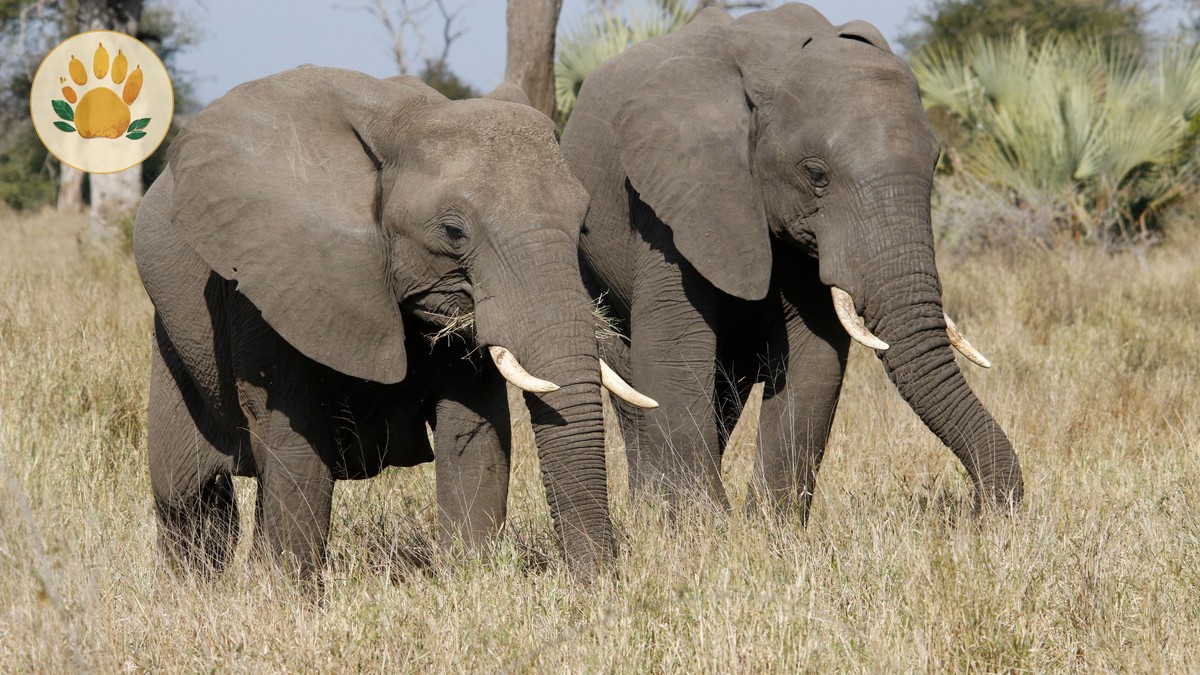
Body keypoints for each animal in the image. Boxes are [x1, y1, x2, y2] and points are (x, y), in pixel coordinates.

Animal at [133, 66, 656, 579]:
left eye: (583, 224)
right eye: (453, 232)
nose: (600, 582)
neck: (405, 119)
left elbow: (476, 436)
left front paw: (471, 579)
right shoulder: (271, 281)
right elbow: (295, 443)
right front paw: (288, 596)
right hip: (174, 342)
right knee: (186, 495)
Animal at [559, 4, 1024, 517]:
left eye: (936, 163)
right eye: (817, 176)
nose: (980, 510)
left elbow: (815, 352)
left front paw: (768, 524)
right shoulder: (676, 194)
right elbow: (674, 345)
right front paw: (702, 523)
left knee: (728, 386)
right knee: (631, 375)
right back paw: (649, 509)